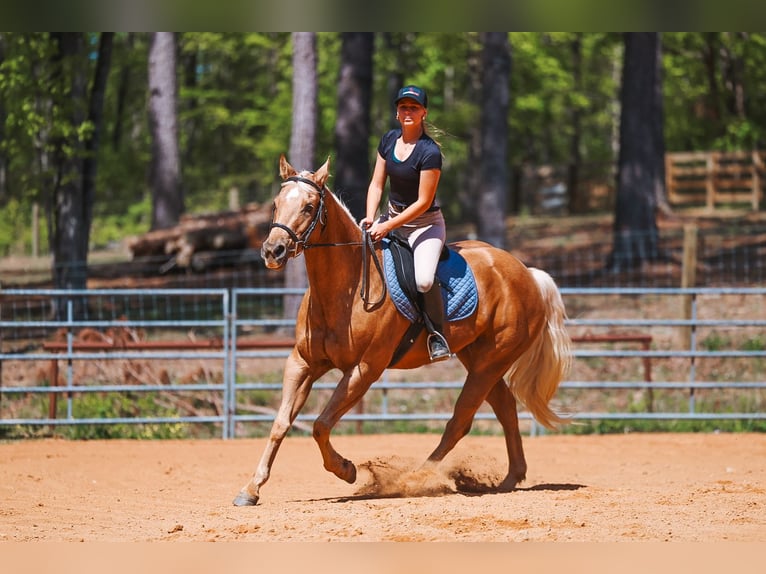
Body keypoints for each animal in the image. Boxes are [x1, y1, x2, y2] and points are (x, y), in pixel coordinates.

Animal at [233, 155, 572, 506]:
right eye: (276, 204)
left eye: (309, 206)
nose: (273, 251)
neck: (344, 289)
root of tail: (526, 273)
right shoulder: (302, 364)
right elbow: (280, 423)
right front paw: (251, 489)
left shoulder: (364, 370)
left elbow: (321, 424)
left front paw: (346, 470)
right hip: (478, 358)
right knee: (504, 406)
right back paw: (510, 478)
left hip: (491, 362)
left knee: (461, 419)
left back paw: (416, 478)